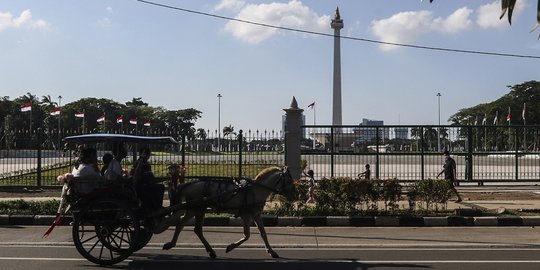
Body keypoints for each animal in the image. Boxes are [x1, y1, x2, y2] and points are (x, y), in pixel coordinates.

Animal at [160, 168, 298, 258]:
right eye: (288, 181)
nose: (296, 194)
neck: (255, 190)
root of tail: (187, 185)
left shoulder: (256, 215)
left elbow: (263, 233)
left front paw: (271, 251)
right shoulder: (247, 216)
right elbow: (247, 235)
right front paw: (230, 247)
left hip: (195, 209)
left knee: (188, 227)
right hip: (197, 209)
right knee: (190, 227)